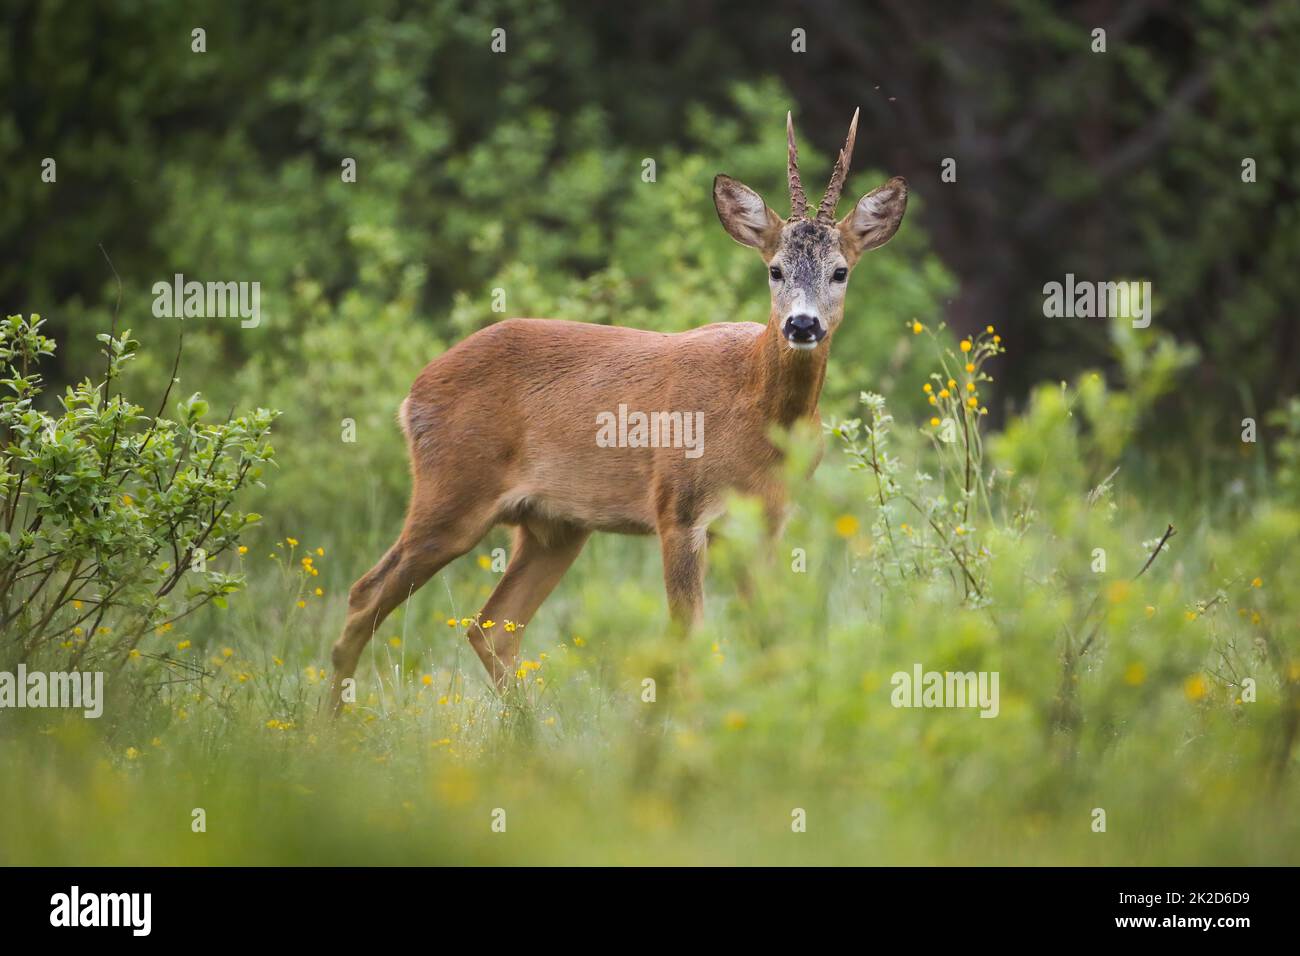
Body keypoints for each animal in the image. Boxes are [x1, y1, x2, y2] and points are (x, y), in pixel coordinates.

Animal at [330, 111, 909, 712]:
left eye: (841, 271)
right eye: (774, 269)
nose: (801, 324)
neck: (755, 410)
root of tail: (413, 391)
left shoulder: (765, 523)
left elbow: (769, 635)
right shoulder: (677, 509)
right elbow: (687, 638)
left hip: (553, 526)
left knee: (490, 627)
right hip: (452, 491)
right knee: (366, 592)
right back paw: (332, 723)